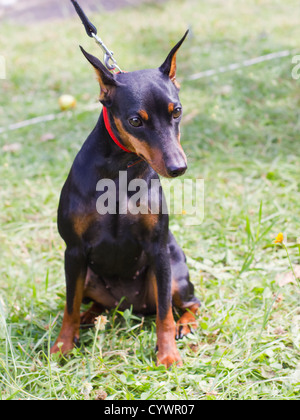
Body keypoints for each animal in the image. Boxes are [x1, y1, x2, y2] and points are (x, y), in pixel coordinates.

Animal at [51, 31, 202, 366]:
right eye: (135, 121)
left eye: (177, 111)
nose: (178, 167)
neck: (120, 170)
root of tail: (130, 305)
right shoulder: (74, 251)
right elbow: (69, 305)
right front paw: (63, 345)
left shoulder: (158, 250)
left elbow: (165, 315)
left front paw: (168, 355)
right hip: (89, 276)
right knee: (92, 302)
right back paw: (90, 317)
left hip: (173, 273)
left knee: (188, 304)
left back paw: (186, 325)